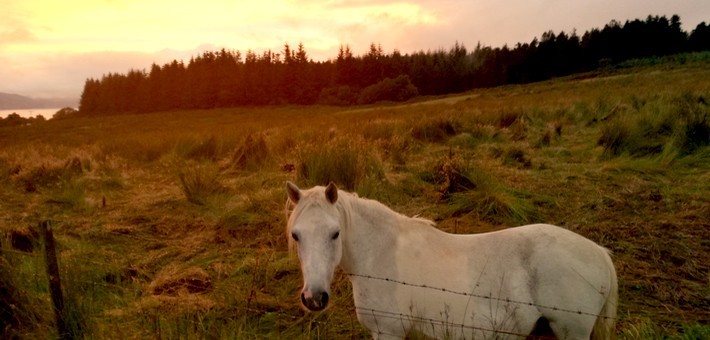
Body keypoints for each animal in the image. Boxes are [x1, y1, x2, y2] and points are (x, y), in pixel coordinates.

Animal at [288, 182, 616, 338]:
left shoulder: (388, 332)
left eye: (335, 233)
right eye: (296, 235)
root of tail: (600, 253)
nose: (314, 298)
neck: (379, 256)